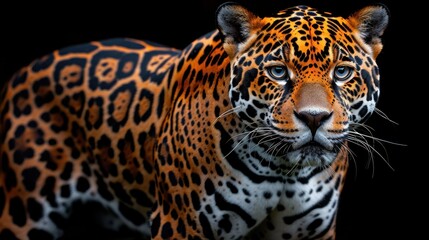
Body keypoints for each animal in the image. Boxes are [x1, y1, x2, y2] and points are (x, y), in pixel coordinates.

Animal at [0, 2, 388, 240]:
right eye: (278, 72)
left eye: (342, 72)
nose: (314, 118)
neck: (280, 171)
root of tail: (19, 74)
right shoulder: (179, 223)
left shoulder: (311, 230)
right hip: (25, 211)